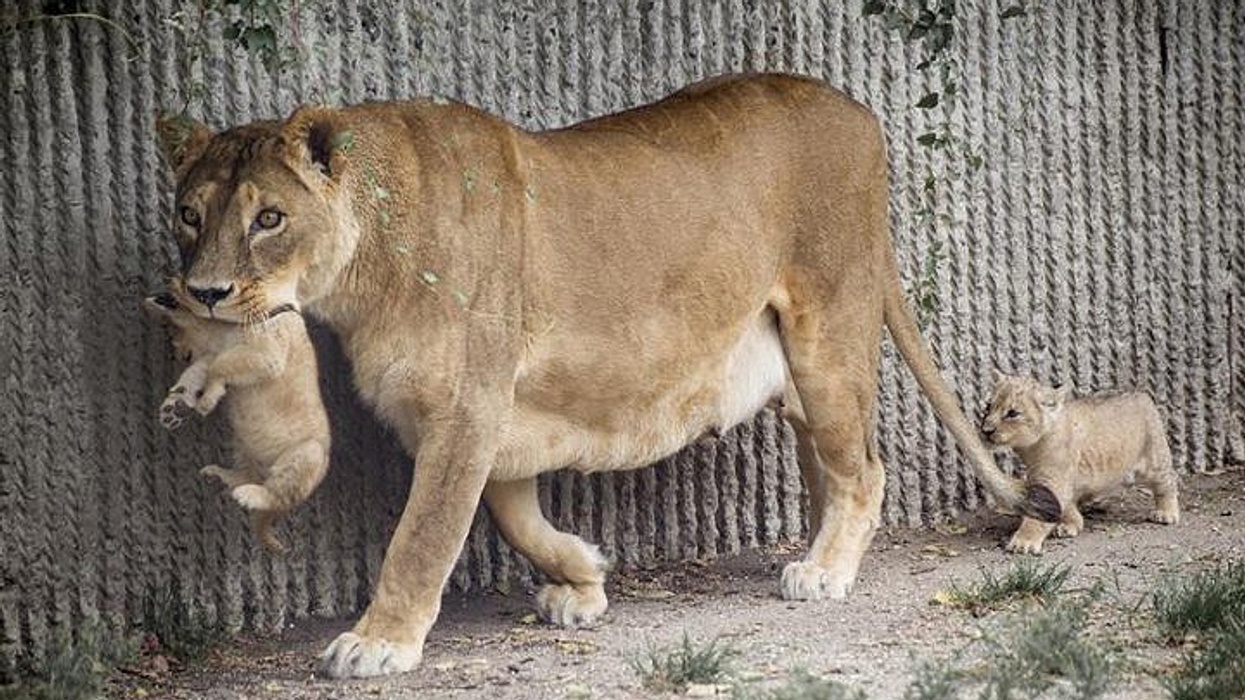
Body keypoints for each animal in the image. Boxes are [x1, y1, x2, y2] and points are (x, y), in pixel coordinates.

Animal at [143, 286, 331, 553]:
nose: (179, 355)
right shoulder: (214, 351)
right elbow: (196, 373)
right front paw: (174, 409)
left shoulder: (267, 354)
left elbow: (219, 366)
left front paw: (205, 402)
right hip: (243, 443)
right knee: (249, 474)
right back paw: (218, 478)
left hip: (308, 453)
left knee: (278, 495)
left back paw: (248, 495)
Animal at [980, 372, 1179, 554]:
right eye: (988, 406)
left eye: (1012, 413)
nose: (986, 430)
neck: (1031, 448)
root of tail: (1142, 394)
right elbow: (1062, 505)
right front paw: (1072, 524)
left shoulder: (1054, 479)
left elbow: (1039, 514)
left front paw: (1024, 542)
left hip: (1153, 461)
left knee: (1168, 481)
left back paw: (1167, 512)